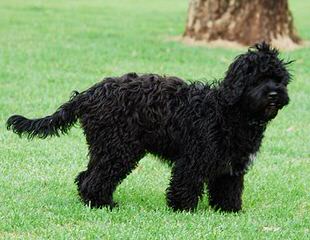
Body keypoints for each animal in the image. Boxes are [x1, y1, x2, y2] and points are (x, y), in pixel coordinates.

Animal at [7, 42, 294, 212]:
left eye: (278, 78)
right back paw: (103, 204)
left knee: (85, 175)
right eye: (256, 78)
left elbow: (228, 189)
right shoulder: (193, 158)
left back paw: (94, 201)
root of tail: (89, 93)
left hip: (106, 147)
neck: (228, 111)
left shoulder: (232, 165)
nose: (274, 93)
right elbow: (185, 184)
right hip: (118, 148)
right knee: (94, 178)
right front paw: (182, 209)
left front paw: (229, 211)